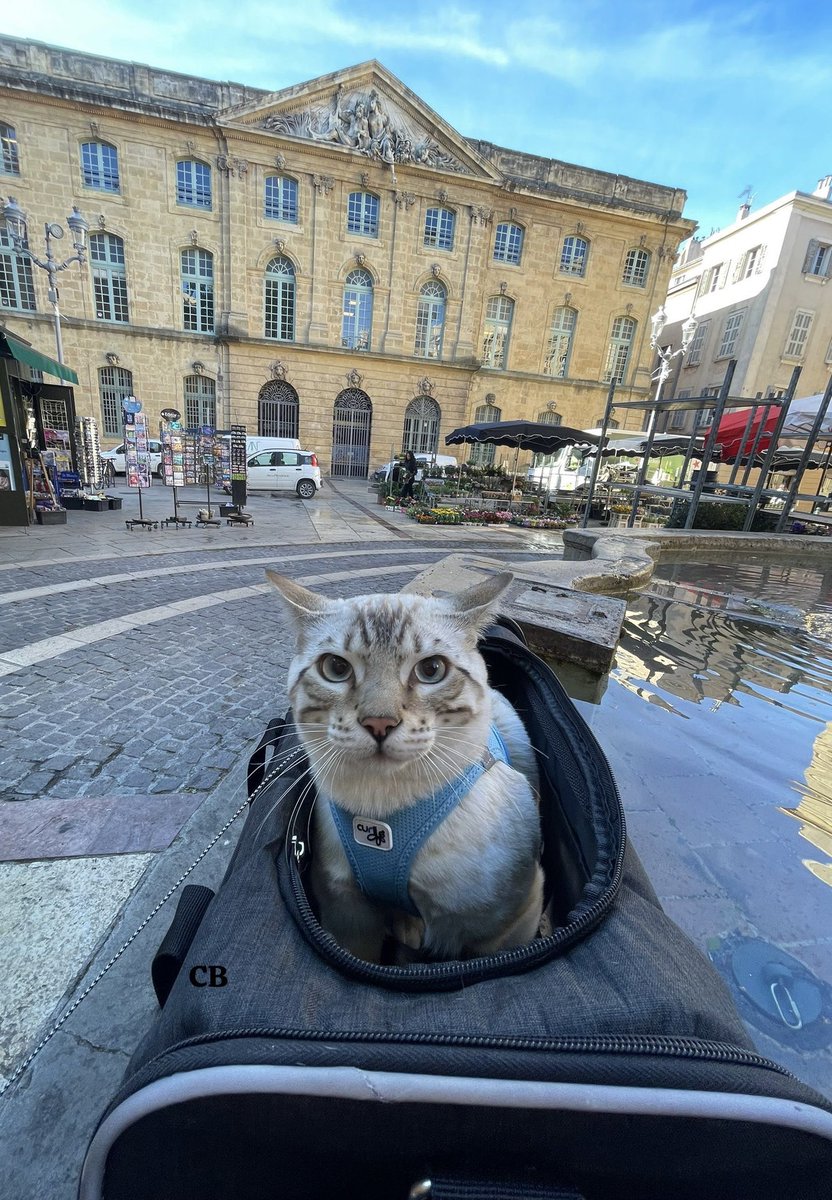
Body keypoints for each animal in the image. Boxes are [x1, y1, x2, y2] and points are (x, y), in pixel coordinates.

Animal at [266, 566, 545, 969]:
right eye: (336, 668)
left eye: (431, 670)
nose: (379, 723)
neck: (381, 812)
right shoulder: (347, 918)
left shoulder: (509, 924)